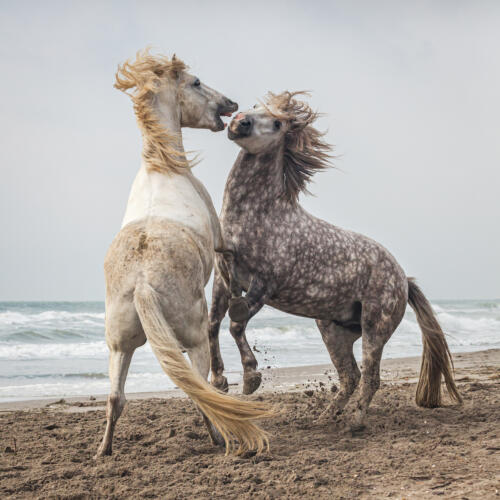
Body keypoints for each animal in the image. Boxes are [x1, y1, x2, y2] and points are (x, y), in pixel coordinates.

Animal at [95, 50, 272, 458]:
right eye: (196, 82)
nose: (230, 104)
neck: (163, 169)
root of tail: (142, 284)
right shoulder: (222, 241)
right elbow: (231, 274)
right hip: (190, 341)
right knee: (202, 390)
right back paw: (220, 436)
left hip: (118, 347)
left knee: (115, 398)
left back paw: (103, 452)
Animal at [209, 91, 462, 430]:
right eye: (254, 107)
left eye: (276, 123)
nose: (240, 122)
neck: (258, 217)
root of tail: (403, 279)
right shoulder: (223, 280)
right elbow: (213, 325)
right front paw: (220, 380)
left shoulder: (264, 284)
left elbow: (236, 324)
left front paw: (251, 377)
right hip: (333, 330)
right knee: (350, 376)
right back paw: (324, 418)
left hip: (374, 327)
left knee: (370, 377)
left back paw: (355, 422)